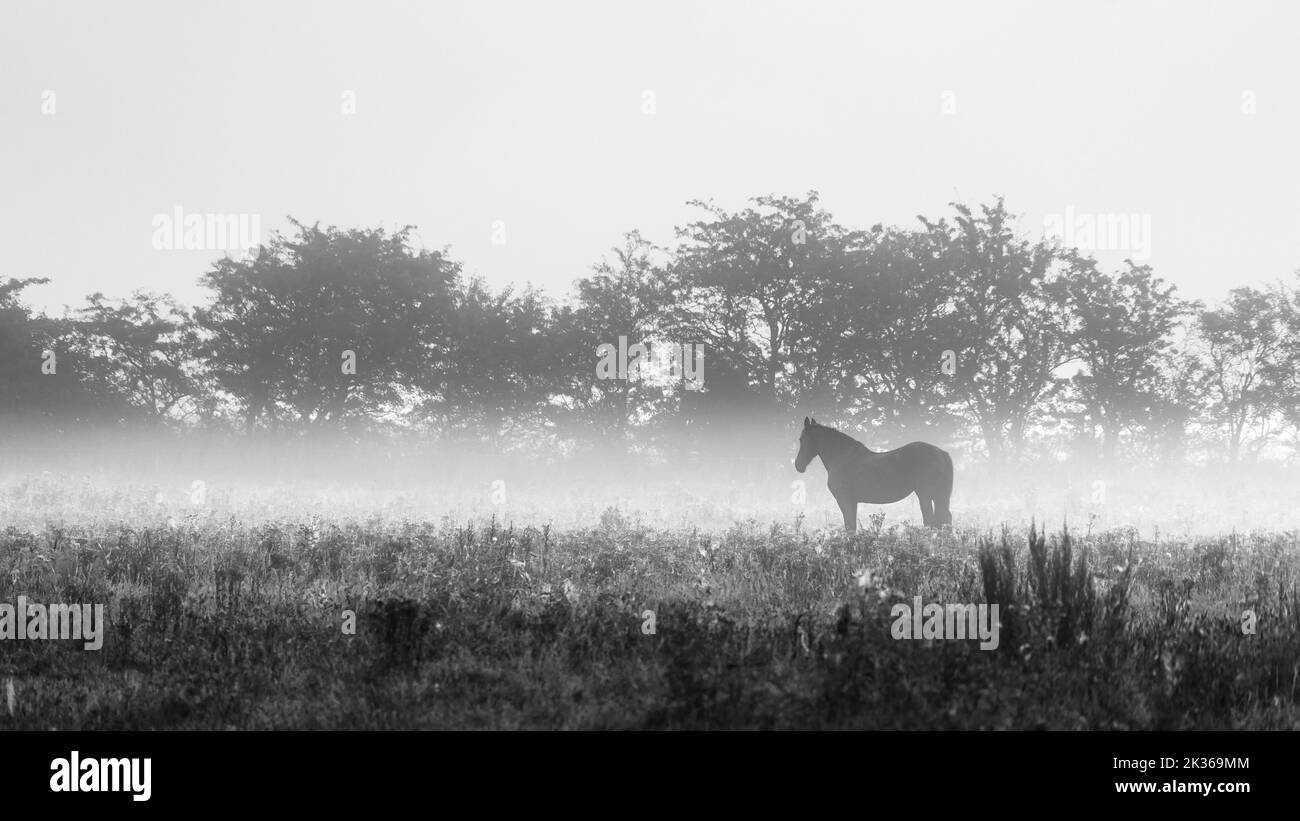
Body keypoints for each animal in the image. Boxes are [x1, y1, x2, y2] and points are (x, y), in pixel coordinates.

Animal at [785, 415, 951, 532]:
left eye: (802, 439)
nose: (798, 465)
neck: (842, 456)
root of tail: (940, 452)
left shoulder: (844, 500)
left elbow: (849, 527)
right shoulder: (852, 502)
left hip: (925, 495)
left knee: (931, 521)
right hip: (940, 496)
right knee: (945, 519)